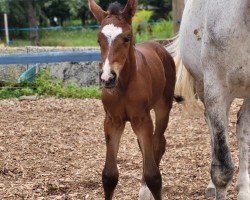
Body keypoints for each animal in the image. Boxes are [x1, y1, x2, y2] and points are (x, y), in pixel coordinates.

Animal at [89, 0, 177, 199]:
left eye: (127, 38)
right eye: (98, 39)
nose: (107, 78)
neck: (123, 85)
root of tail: (159, 47)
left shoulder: (142, 119)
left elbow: (154, 176)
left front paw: (148, 188)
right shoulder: (112, 121)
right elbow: (109, 176)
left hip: (163, 108)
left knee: (158, 143)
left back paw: (144, 191)